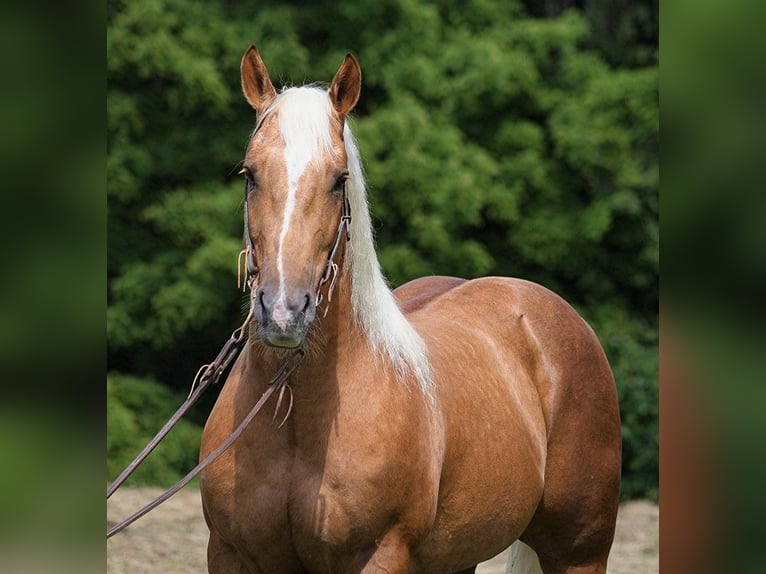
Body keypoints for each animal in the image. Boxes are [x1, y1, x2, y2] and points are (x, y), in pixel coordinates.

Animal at [199, 45, 622, 574]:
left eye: (339, 180)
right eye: (249, 174)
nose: (283, 312)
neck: (293, 411)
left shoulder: (381, 554)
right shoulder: (229, 553)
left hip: (579, 552)